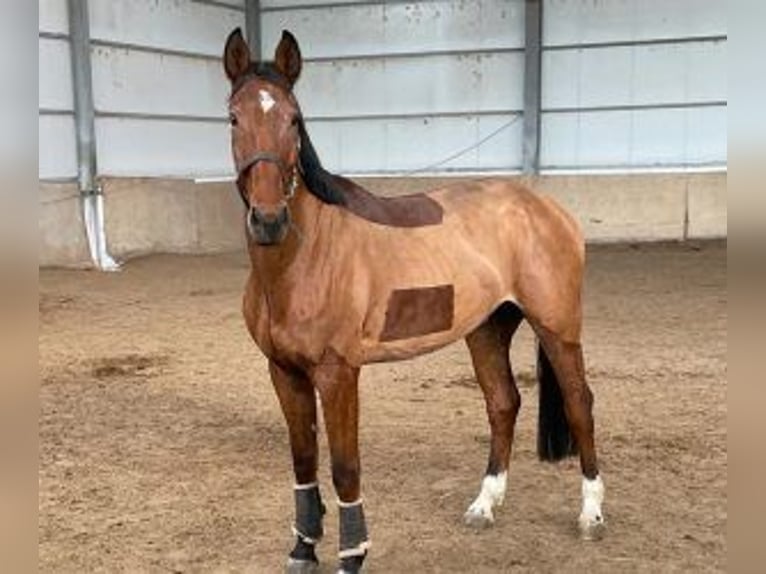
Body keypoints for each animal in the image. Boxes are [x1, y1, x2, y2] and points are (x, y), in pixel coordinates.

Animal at [222, 29, 608, 574]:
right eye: (234, 117)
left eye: (294, 119)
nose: (269, 219)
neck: (302, 256)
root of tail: (546, 208)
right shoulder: (284, 371)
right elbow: (303, 459)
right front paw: (302, 547)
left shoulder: (338, 373)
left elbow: (345, 467)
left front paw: (352, 554)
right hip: (488, 328)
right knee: (503, 403)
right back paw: (484, 504)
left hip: (557, 326)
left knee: (580, 403)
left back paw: (591, 513)